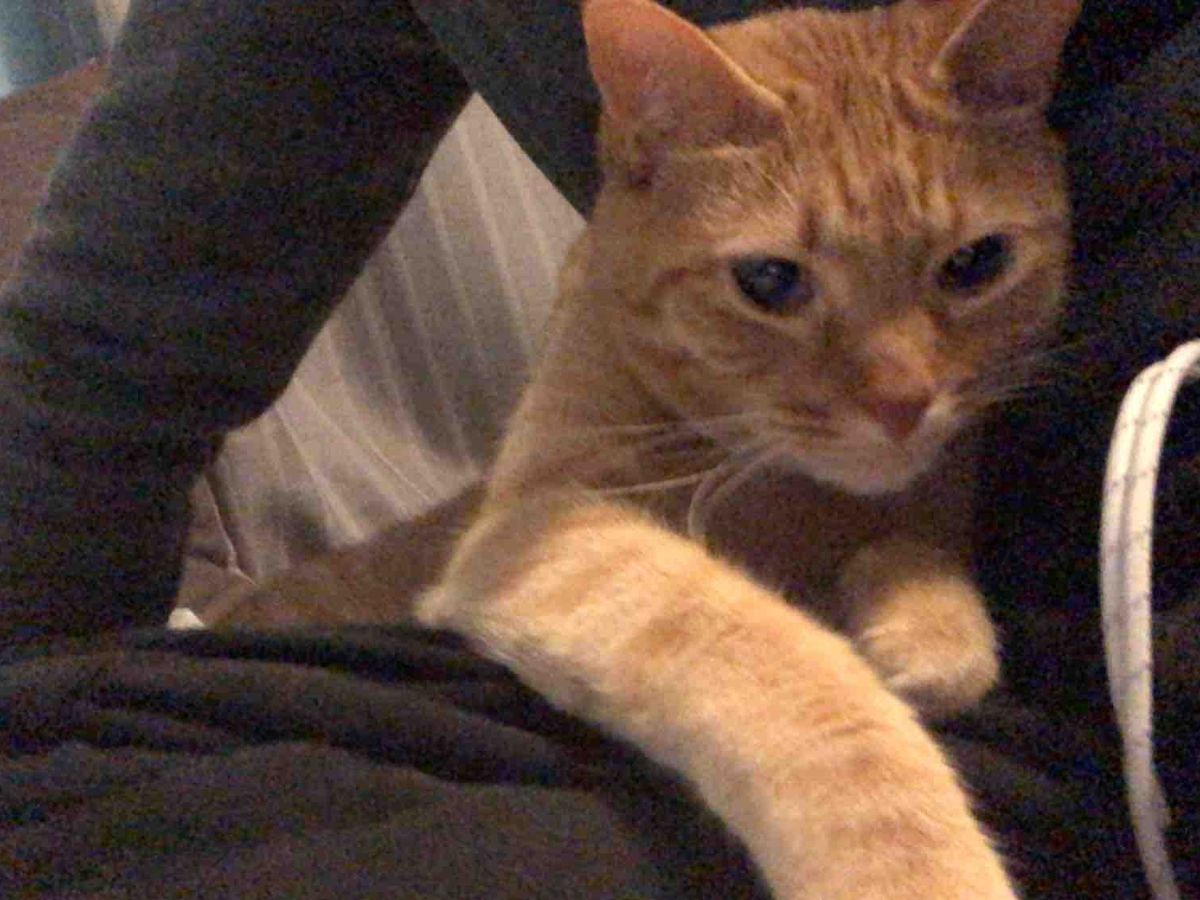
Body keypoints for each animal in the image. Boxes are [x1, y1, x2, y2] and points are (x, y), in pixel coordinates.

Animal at [418, 0, 1079, 897]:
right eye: (769, 281)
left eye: (976, 264)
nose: (903, 402)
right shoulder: (544, 525)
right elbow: (790, 674)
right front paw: (911, 868)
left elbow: (919, 533)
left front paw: (928, 619)